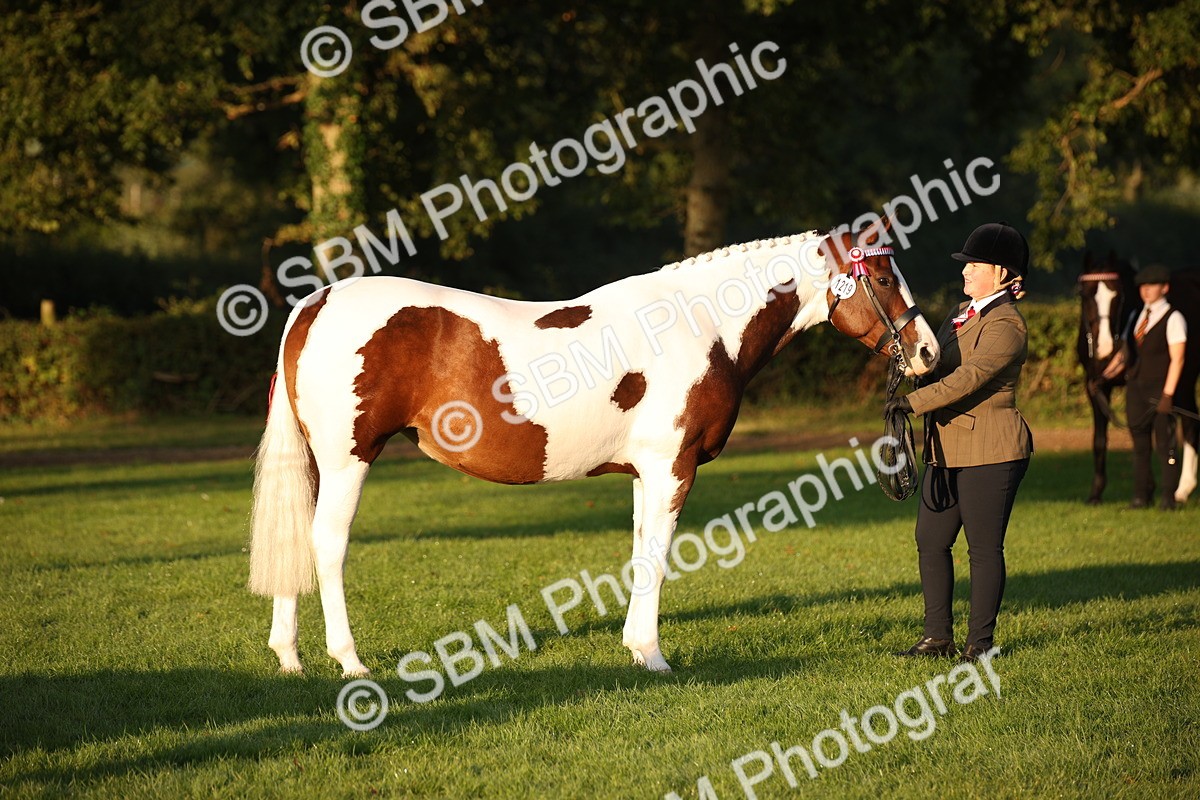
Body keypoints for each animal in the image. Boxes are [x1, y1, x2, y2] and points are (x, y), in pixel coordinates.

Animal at [248, 222, 941, 677]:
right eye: (883, 277)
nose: (930, 352)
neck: (698, 323)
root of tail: (315, 303)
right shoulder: (671, 467)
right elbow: (658, 557)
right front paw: (654, 657)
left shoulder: (642, 472)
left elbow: (639, 554)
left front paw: (635, 648)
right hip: (349, 460)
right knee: (326, 544)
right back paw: (350, 662)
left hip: (317, 463)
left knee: (294, 541)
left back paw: (289, 657)